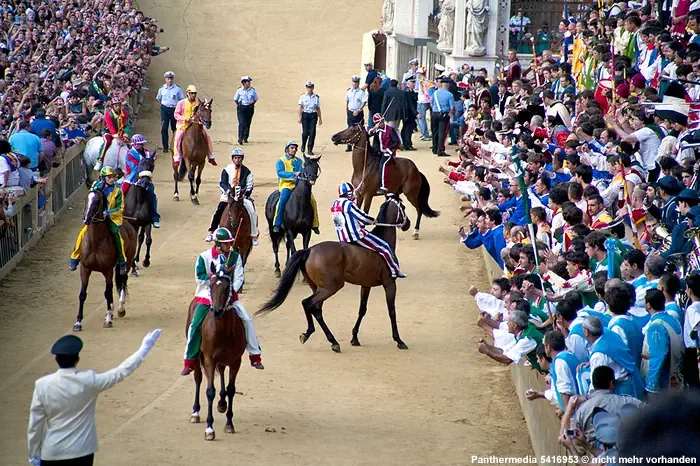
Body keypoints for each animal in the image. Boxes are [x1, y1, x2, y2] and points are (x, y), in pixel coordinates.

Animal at [74, 187, 137, 330]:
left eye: (97, 201)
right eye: (86, 198)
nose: (86, 219)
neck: (95, 243)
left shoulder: (107, 269)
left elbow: (108, 292)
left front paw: (108, 319)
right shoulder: (84, 268)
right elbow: (82, 294)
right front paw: (78, 322)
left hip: (128, 261)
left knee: (123, 280)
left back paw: (120, 308)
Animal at [187, 258, 247, 440]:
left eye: (227, 287)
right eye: (211, 285)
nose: (218, 311)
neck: (223, 330)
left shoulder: (235, 360)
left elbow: (231, 389)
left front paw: (229, 423)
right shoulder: (209, 358)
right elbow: (210, 391)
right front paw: (209, 428)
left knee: (220, 373)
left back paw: (221, 403)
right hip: (198, 355)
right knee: (198, 378)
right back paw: (195, 412)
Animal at [258, 195, 410, 352]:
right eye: (403, 207)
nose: (408, 224)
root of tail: (309, 250)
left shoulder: (366, 285)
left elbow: (362, 309)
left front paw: (354, 337)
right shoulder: (389, 283)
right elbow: (392, 311)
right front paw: (398, 340)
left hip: (318, 287)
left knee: (316, 309)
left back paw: (323, 338)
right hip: (330, 288)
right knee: (307, 303)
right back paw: (325, 338)